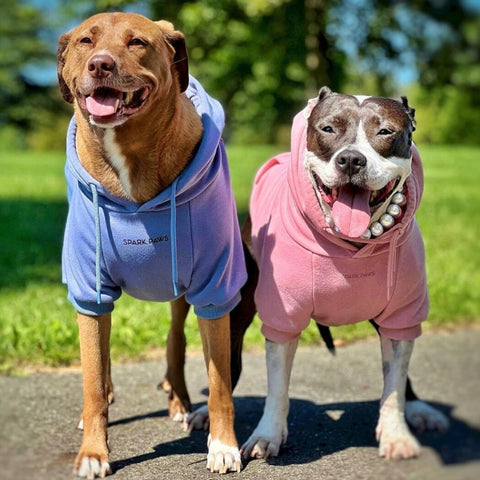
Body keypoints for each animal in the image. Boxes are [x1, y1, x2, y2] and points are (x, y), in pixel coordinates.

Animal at [57, 11, 246, 476]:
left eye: (137, 42)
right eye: (86, 41)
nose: (100, 65)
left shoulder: (214, 286)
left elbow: (219, 384)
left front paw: (223, 446)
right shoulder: (89, 289)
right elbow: (92, 376)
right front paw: (94, 450)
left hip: (181, 294)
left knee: (175, 340)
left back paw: (179, 400)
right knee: (103, 359)